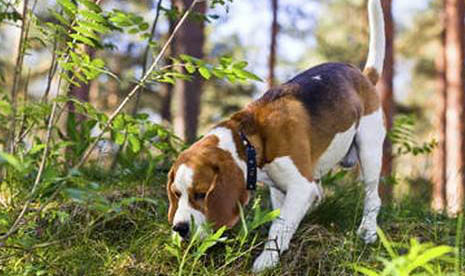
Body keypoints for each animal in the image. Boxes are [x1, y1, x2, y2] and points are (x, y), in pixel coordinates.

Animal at [166, 0, 384, 272]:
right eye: (176, 194)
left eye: (201, 194)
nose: (179, 228)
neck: (250, 141)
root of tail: (364, 77)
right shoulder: (279, 189)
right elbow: (280, 220)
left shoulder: (300, 186)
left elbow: (279, 226)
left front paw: (266, 261)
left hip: (370, 149)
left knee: (372, 196)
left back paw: (368, 231)